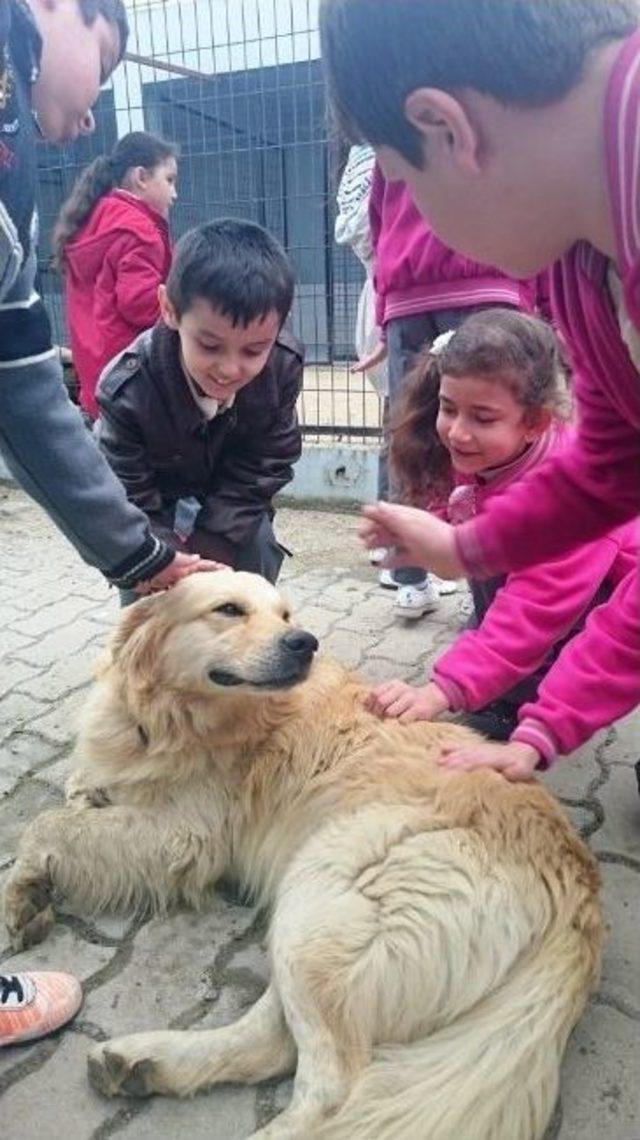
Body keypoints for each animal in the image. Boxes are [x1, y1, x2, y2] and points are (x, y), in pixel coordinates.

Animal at [4, 574, 602, 1135]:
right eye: (229, 609)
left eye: (285, 614)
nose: (304, 642)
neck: (169, 715)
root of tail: (579, 900)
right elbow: (77, 793)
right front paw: (66, 834)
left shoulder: (184, 836)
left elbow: (46, 824)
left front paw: (24, 888)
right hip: (314, 917)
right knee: (272, 1042)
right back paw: (146, 1062)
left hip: (327, 887)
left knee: (331, 1089)